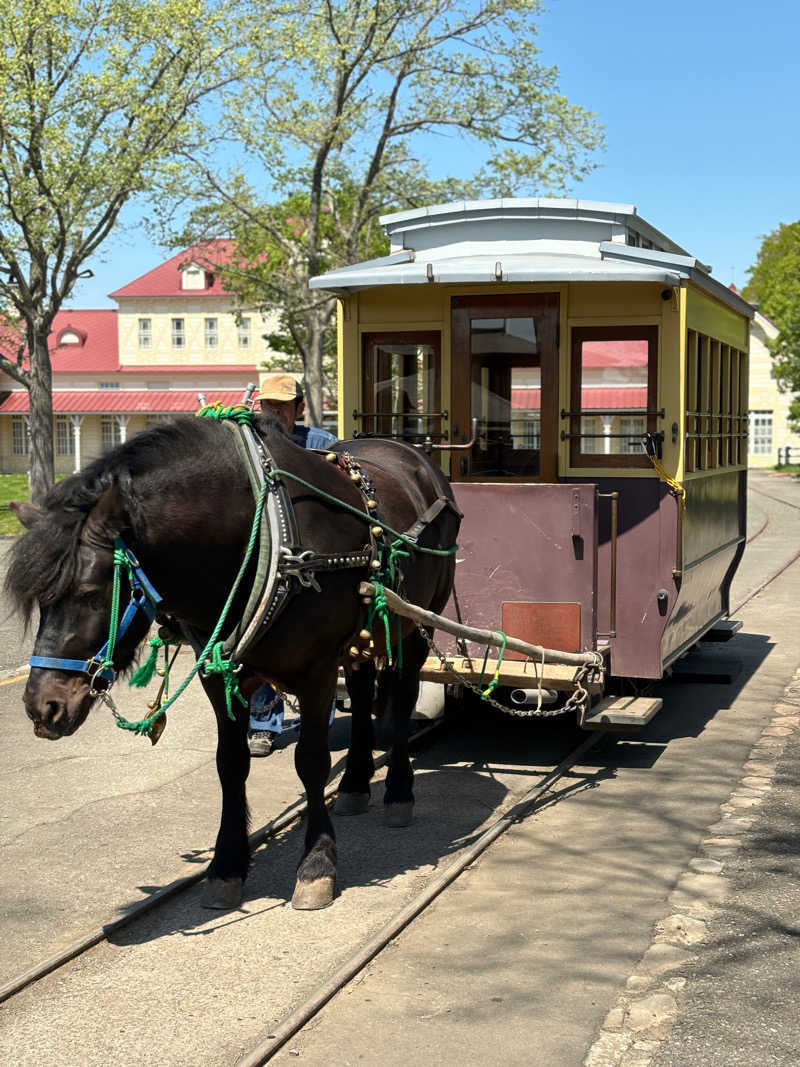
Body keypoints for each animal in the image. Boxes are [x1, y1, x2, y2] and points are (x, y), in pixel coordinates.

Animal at [4, 411, 462, 913]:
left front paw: (317, 865)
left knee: (402, 696)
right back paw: (357, 783)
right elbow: (230, 764)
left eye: (89, 594)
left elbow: (311, 761)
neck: (264, 535)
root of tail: (413, 454)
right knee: (362, 692)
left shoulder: (318, 671)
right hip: (365, 633)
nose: (42, 706)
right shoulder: (220, 672)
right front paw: (226, 867)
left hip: (418, 622)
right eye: (41, 600)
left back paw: (398, 791)